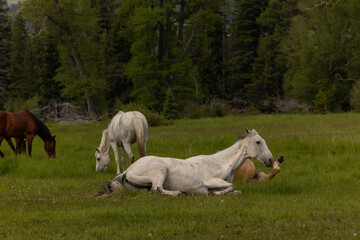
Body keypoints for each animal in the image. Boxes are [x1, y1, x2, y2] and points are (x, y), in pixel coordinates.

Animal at [94, 129, 274, 197]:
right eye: (258, 142)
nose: (271, 160)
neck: (220, 163)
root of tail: (128, 170)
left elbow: (235, 190)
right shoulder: (209, 180)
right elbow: (231, 186)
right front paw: (212, 194)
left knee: (152, 191)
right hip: (160, 170)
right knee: (157, 189)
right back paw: (180, 193)